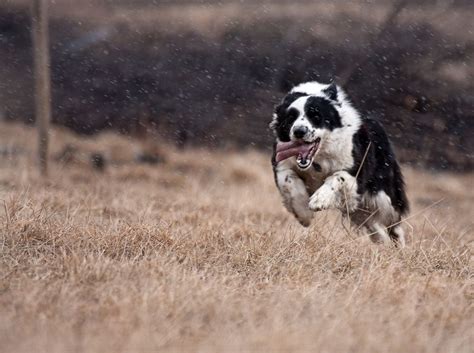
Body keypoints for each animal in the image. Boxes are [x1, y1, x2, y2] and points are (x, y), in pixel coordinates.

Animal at [272, 80, 410, 245]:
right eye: (290, 118)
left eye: (316, 116)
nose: (299, 131)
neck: (318, 160)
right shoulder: (281, 164)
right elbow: (289, 179)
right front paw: (304, 214)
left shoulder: (355, 174)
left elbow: (337, 176)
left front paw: (319, 200)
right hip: (359, 208)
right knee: (374, 225)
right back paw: (382, 244)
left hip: (381, 196)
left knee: (393, 222)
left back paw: (399, 246)